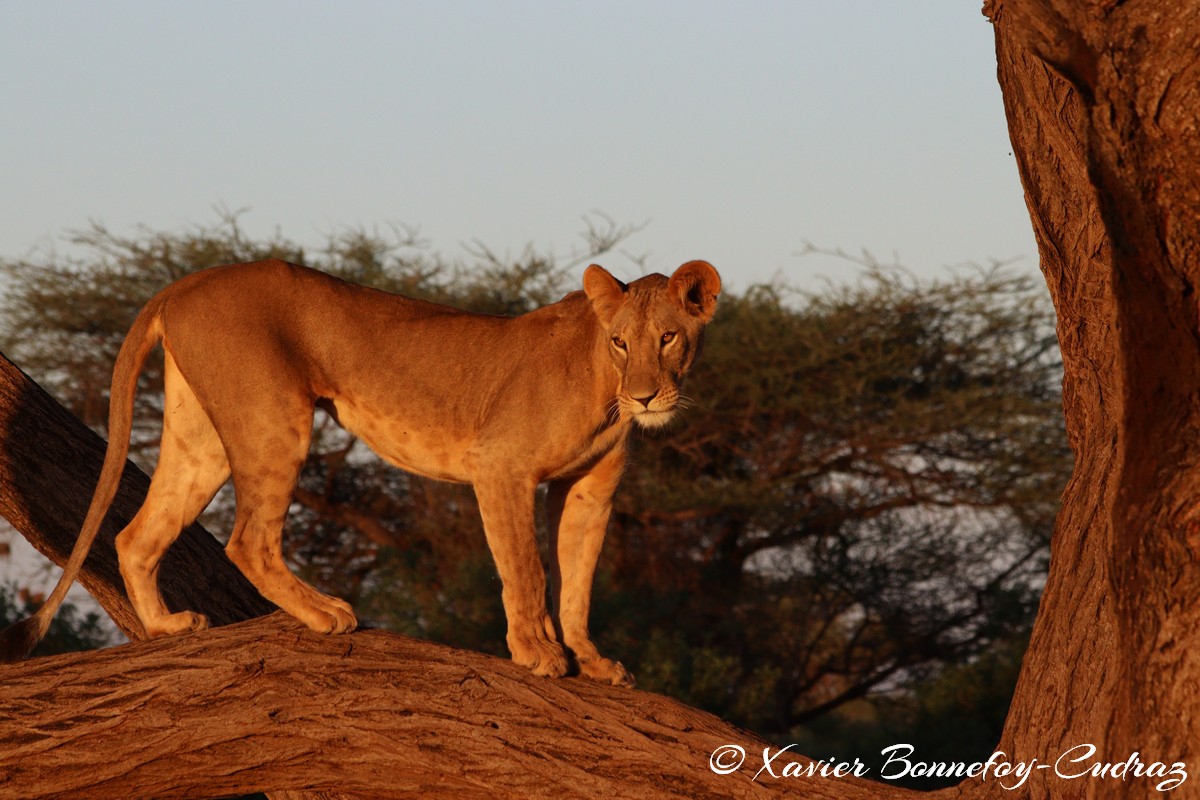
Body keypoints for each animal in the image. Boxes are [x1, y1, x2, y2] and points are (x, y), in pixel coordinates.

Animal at [0, 260, 720, 686]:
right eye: (622, 341)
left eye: (668, 338)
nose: (646, 397)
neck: (603, 381)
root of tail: (189, 280)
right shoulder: (501, 466)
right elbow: (526, 569)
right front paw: (537, 653)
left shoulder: (591, 489)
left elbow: (579, 580)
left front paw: (591, 659)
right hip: (276, 418)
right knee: (248, 540)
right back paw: (325, 613)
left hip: (202, 439)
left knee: (136, 535)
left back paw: (167, 627)